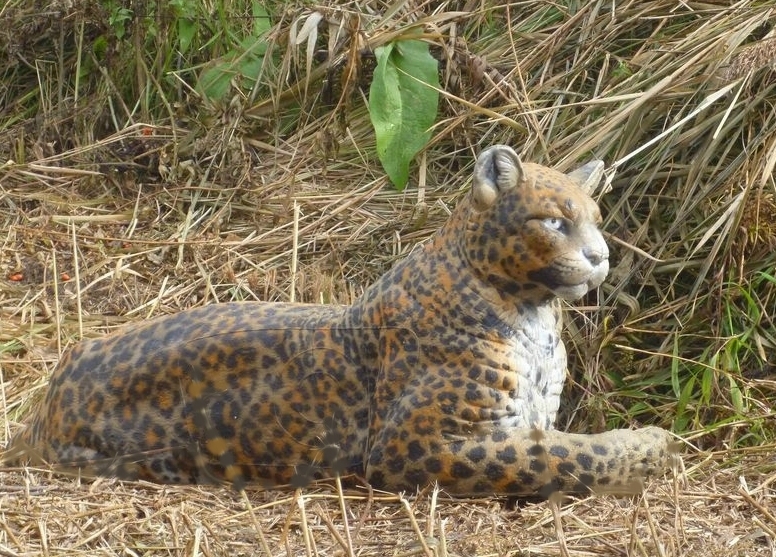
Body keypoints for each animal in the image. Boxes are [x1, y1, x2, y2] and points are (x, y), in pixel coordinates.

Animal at [4, 145, 675, 497]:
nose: (600, 256)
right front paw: (650, 444)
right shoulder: (416, 445)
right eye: (553, 221)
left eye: (595, 218)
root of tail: (40, 413)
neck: (534, 314)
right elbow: (560, 457)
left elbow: (556, 445)